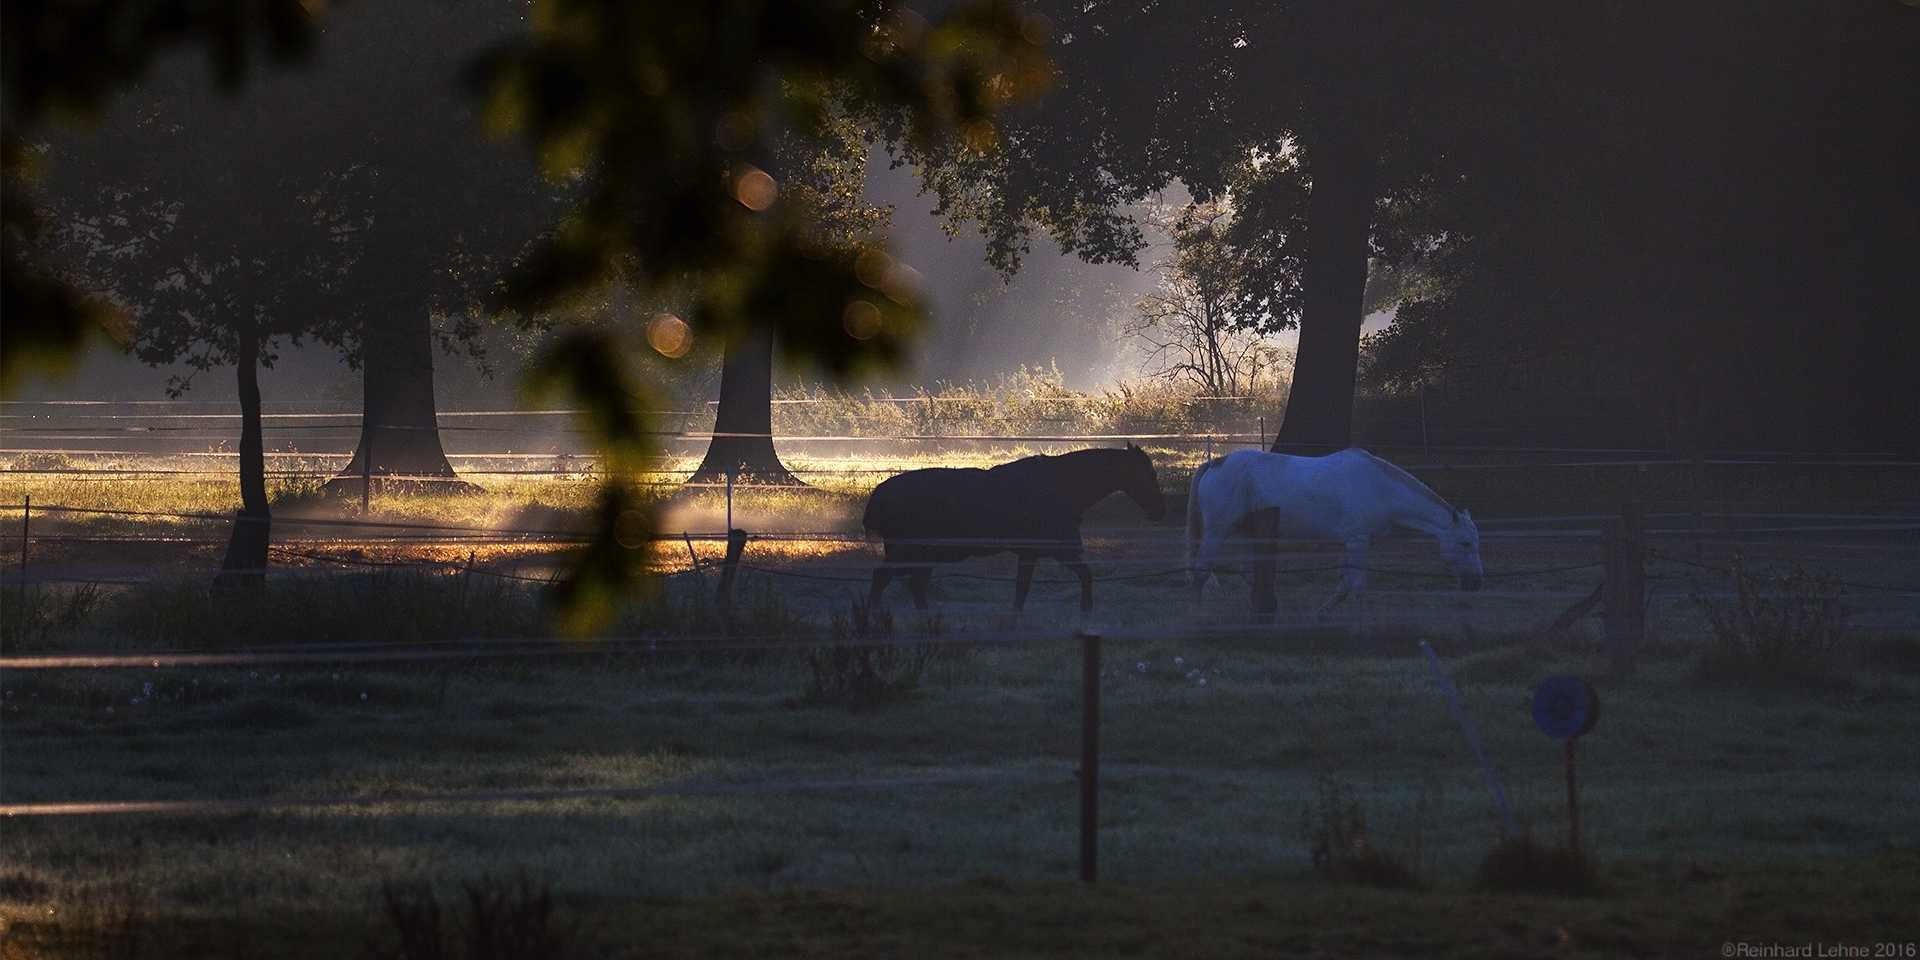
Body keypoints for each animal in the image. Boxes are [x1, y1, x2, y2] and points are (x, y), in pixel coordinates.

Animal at [864, 443, 1159, 610]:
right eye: (1148, 473)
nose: (1160, 510)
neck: (1066, 486)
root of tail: (878, 498)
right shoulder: (1060, 549)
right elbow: (1085, 576)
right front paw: (1086, 610)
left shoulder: (1030, 553)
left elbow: (1021, 589)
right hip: (911, 552)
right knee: (888, 579)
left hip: (916, 555)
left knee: (908, 584)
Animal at [1182, 447, 1482, 610]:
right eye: (1466, 543)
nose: (1476, 584)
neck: (1381, 488)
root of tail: (1215, 463)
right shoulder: (1358, 542)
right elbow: (1358, 587)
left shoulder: (1350, 543)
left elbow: (1345, 586)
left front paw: (1323, 612)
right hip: (1217, 533)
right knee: (1199, 574)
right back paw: (1196, 615)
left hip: (1250, 534)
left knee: (1245, 571)